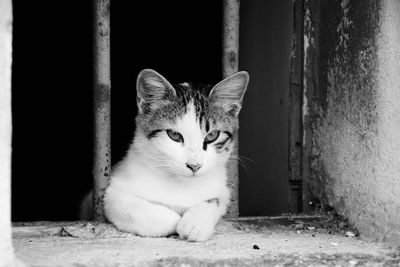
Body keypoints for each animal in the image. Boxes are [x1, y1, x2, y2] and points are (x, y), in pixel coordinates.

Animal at [80, 69, 248, 243]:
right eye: (174, 135)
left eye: (212, 135)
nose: (194, 165)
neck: (180, 184)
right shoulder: (108, 192)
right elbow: (121, 203)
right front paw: (170, 221)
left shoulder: (223, 189)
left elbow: (216, 199)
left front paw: (196, 223)